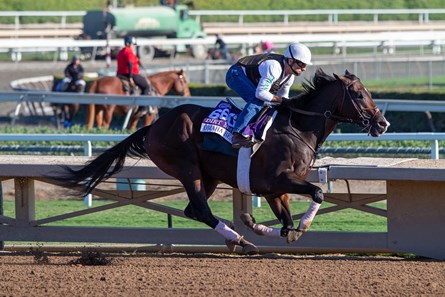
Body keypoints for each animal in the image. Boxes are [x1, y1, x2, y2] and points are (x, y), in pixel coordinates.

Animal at [49, 69, 388, 252]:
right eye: (359, 95)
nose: (382, 123)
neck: (297, 127)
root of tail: (154, 125)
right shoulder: (278, 180)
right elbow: (316, 194)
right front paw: (286, 227)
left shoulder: (273, 189)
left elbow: (286, 224)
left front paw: (255, 223)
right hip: (188, 169)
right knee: (200, 209)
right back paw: (237, 239)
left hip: (208, 175)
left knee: (194, 210)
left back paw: (240, 237)